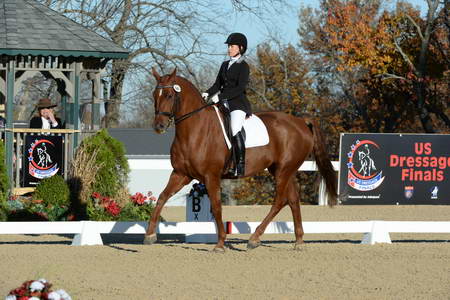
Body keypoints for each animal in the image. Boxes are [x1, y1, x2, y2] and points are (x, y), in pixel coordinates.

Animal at [145, 67, 338, 251]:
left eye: (170, 95)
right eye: (154, 95)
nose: (158, 126)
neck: (194, 131)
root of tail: (300, 121)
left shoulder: (211, 176)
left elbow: (217, 206)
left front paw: (220, 244)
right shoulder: (180, 174)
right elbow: (162, 197)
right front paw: (149, 235)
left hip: (284, 170)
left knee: (280, 201)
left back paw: (254, 239)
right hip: (282, 170)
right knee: (293, 200)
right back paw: (299, 241)